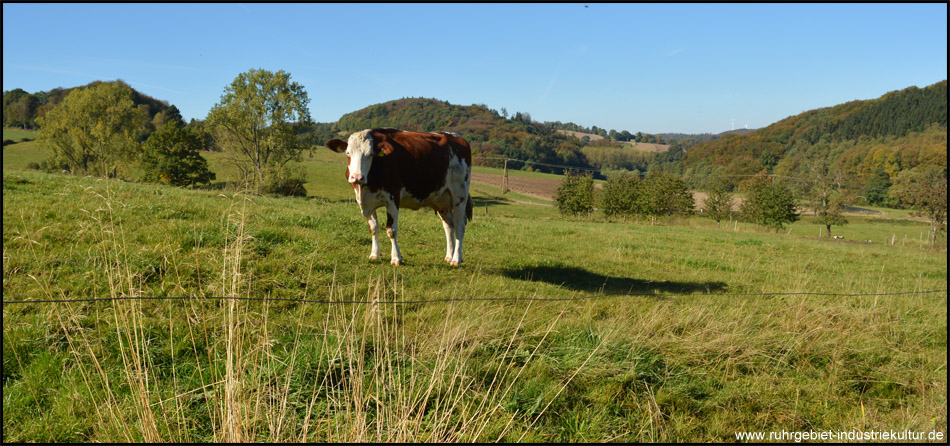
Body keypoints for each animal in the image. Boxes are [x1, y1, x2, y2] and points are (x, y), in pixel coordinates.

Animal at [330, 131, 474, 266]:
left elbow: (391, 230)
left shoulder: (393, 199)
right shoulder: (367, 203)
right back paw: (449, 256)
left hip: (459, 195)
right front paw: (375, 254)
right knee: (449, 226)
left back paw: (456, 259)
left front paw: (396, 258)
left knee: (460, 226)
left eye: (370, 154)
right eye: (348, 153)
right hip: (442, 200)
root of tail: (456, 136)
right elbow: (373, 228)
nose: (357, 177)